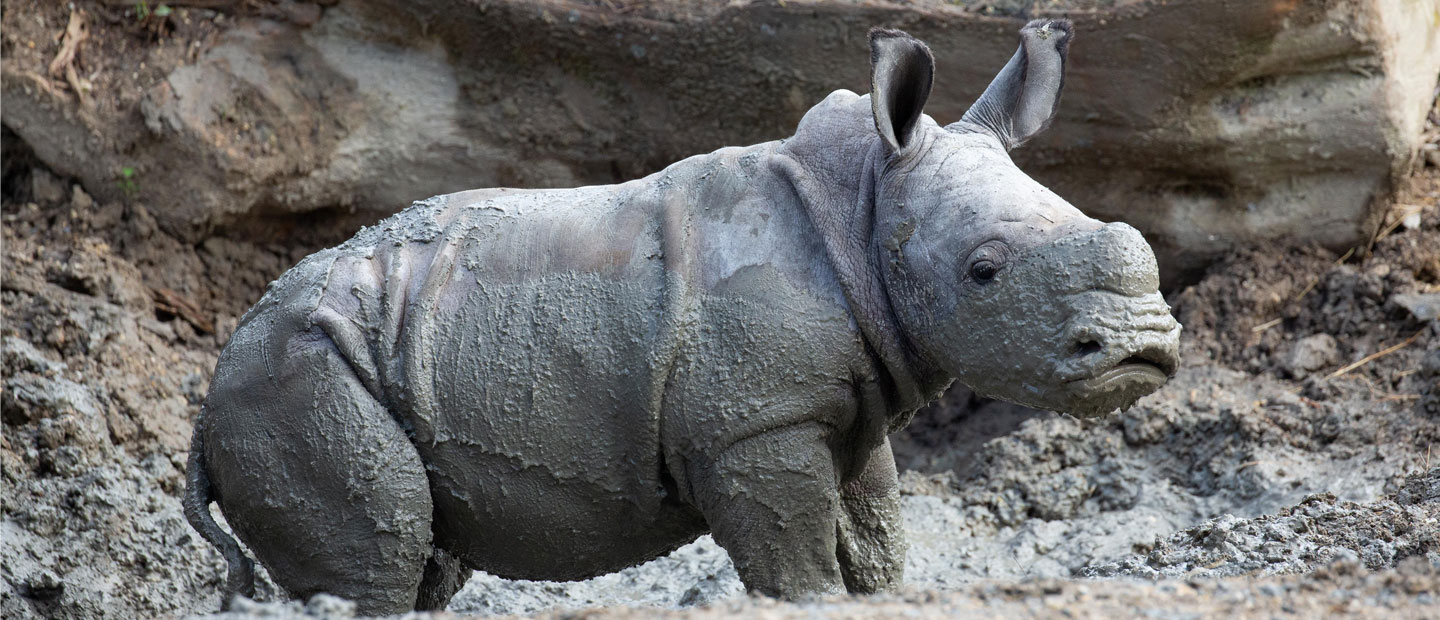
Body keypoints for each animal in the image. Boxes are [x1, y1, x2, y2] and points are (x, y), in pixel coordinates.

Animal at [186, 20, 1181, 615]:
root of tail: (210, 387)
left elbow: (876, 541)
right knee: (380, 560)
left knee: (423, 561)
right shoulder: (753, 423)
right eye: (983, 271)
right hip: (291, 378)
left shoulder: (850, 400)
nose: (1142, 349)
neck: (864, 206)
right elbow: (797, 565)